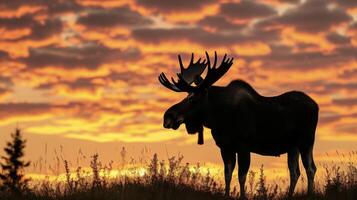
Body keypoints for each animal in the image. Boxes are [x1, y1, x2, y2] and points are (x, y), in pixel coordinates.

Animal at [159, 52, 318, 198]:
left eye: (193, 99)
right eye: (187, 96)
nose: (168, 116)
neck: (219, 119)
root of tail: (316, 105)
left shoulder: (244, 146)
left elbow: (242, 176)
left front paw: (242, 196)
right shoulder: (225, 148)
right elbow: (228, 175)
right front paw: (226, 195)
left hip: (306, 141)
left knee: (310, 168)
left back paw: (310, 194)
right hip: (292, 146)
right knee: (295, 172)